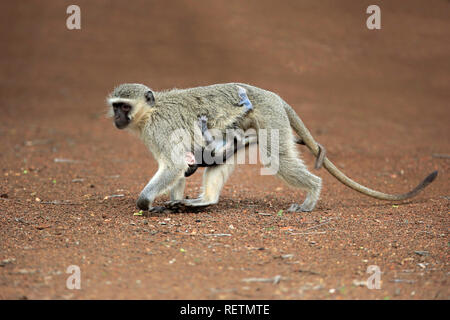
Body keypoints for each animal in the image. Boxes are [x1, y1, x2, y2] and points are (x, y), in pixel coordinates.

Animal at [105, 83, 436, 212]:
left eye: (124, 106)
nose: (116, 118)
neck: (151, 112)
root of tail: (271, 94)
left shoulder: (159, 130)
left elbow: (173, 165)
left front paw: (146, 203)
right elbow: (180, 166)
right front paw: (174, 200)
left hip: (269, 116)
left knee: (277, 158)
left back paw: (311, 194)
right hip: (242, 126)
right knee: (221, 155)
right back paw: (206, 201)